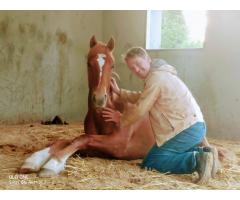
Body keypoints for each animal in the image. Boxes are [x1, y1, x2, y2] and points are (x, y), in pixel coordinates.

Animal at [20, 36, 156, 177]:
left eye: (112, 65)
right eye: (88, 64)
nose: (99, 99)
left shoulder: (118, 145)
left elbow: (82, 139)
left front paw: (53, 164)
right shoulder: (97, 149)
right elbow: (67, 141)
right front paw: (34, 160)